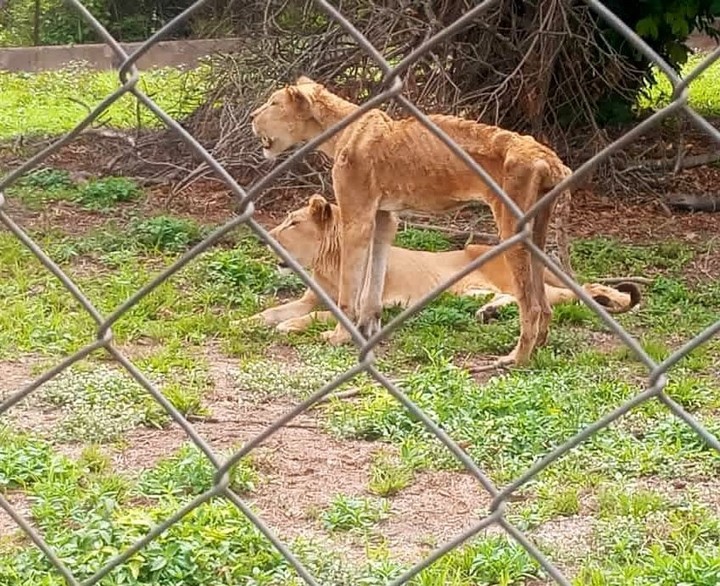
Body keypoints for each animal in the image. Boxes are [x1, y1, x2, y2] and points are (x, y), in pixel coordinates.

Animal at [250, 76, 575, 367]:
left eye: (274, 103)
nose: (252, 116)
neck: (340, 129)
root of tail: (547, 155)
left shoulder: (357, 216)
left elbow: (349, 287)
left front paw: (339, 336)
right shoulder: (384, 217)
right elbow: (373, 279)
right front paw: (367, 328)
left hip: (511, 224)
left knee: (531, 304)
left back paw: (516, 358)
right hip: (538, 228)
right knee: (544, 302)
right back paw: (539, 346)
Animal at [251, 194, 640, 339]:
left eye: (292, 223)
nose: (264, 236)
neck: (328, 264)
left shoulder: (371, 305)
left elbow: (316, 317)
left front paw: (290, 326)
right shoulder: (311, 298)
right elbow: (272, 311)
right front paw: (248, 321)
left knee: (566, 296)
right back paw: (486, 311)